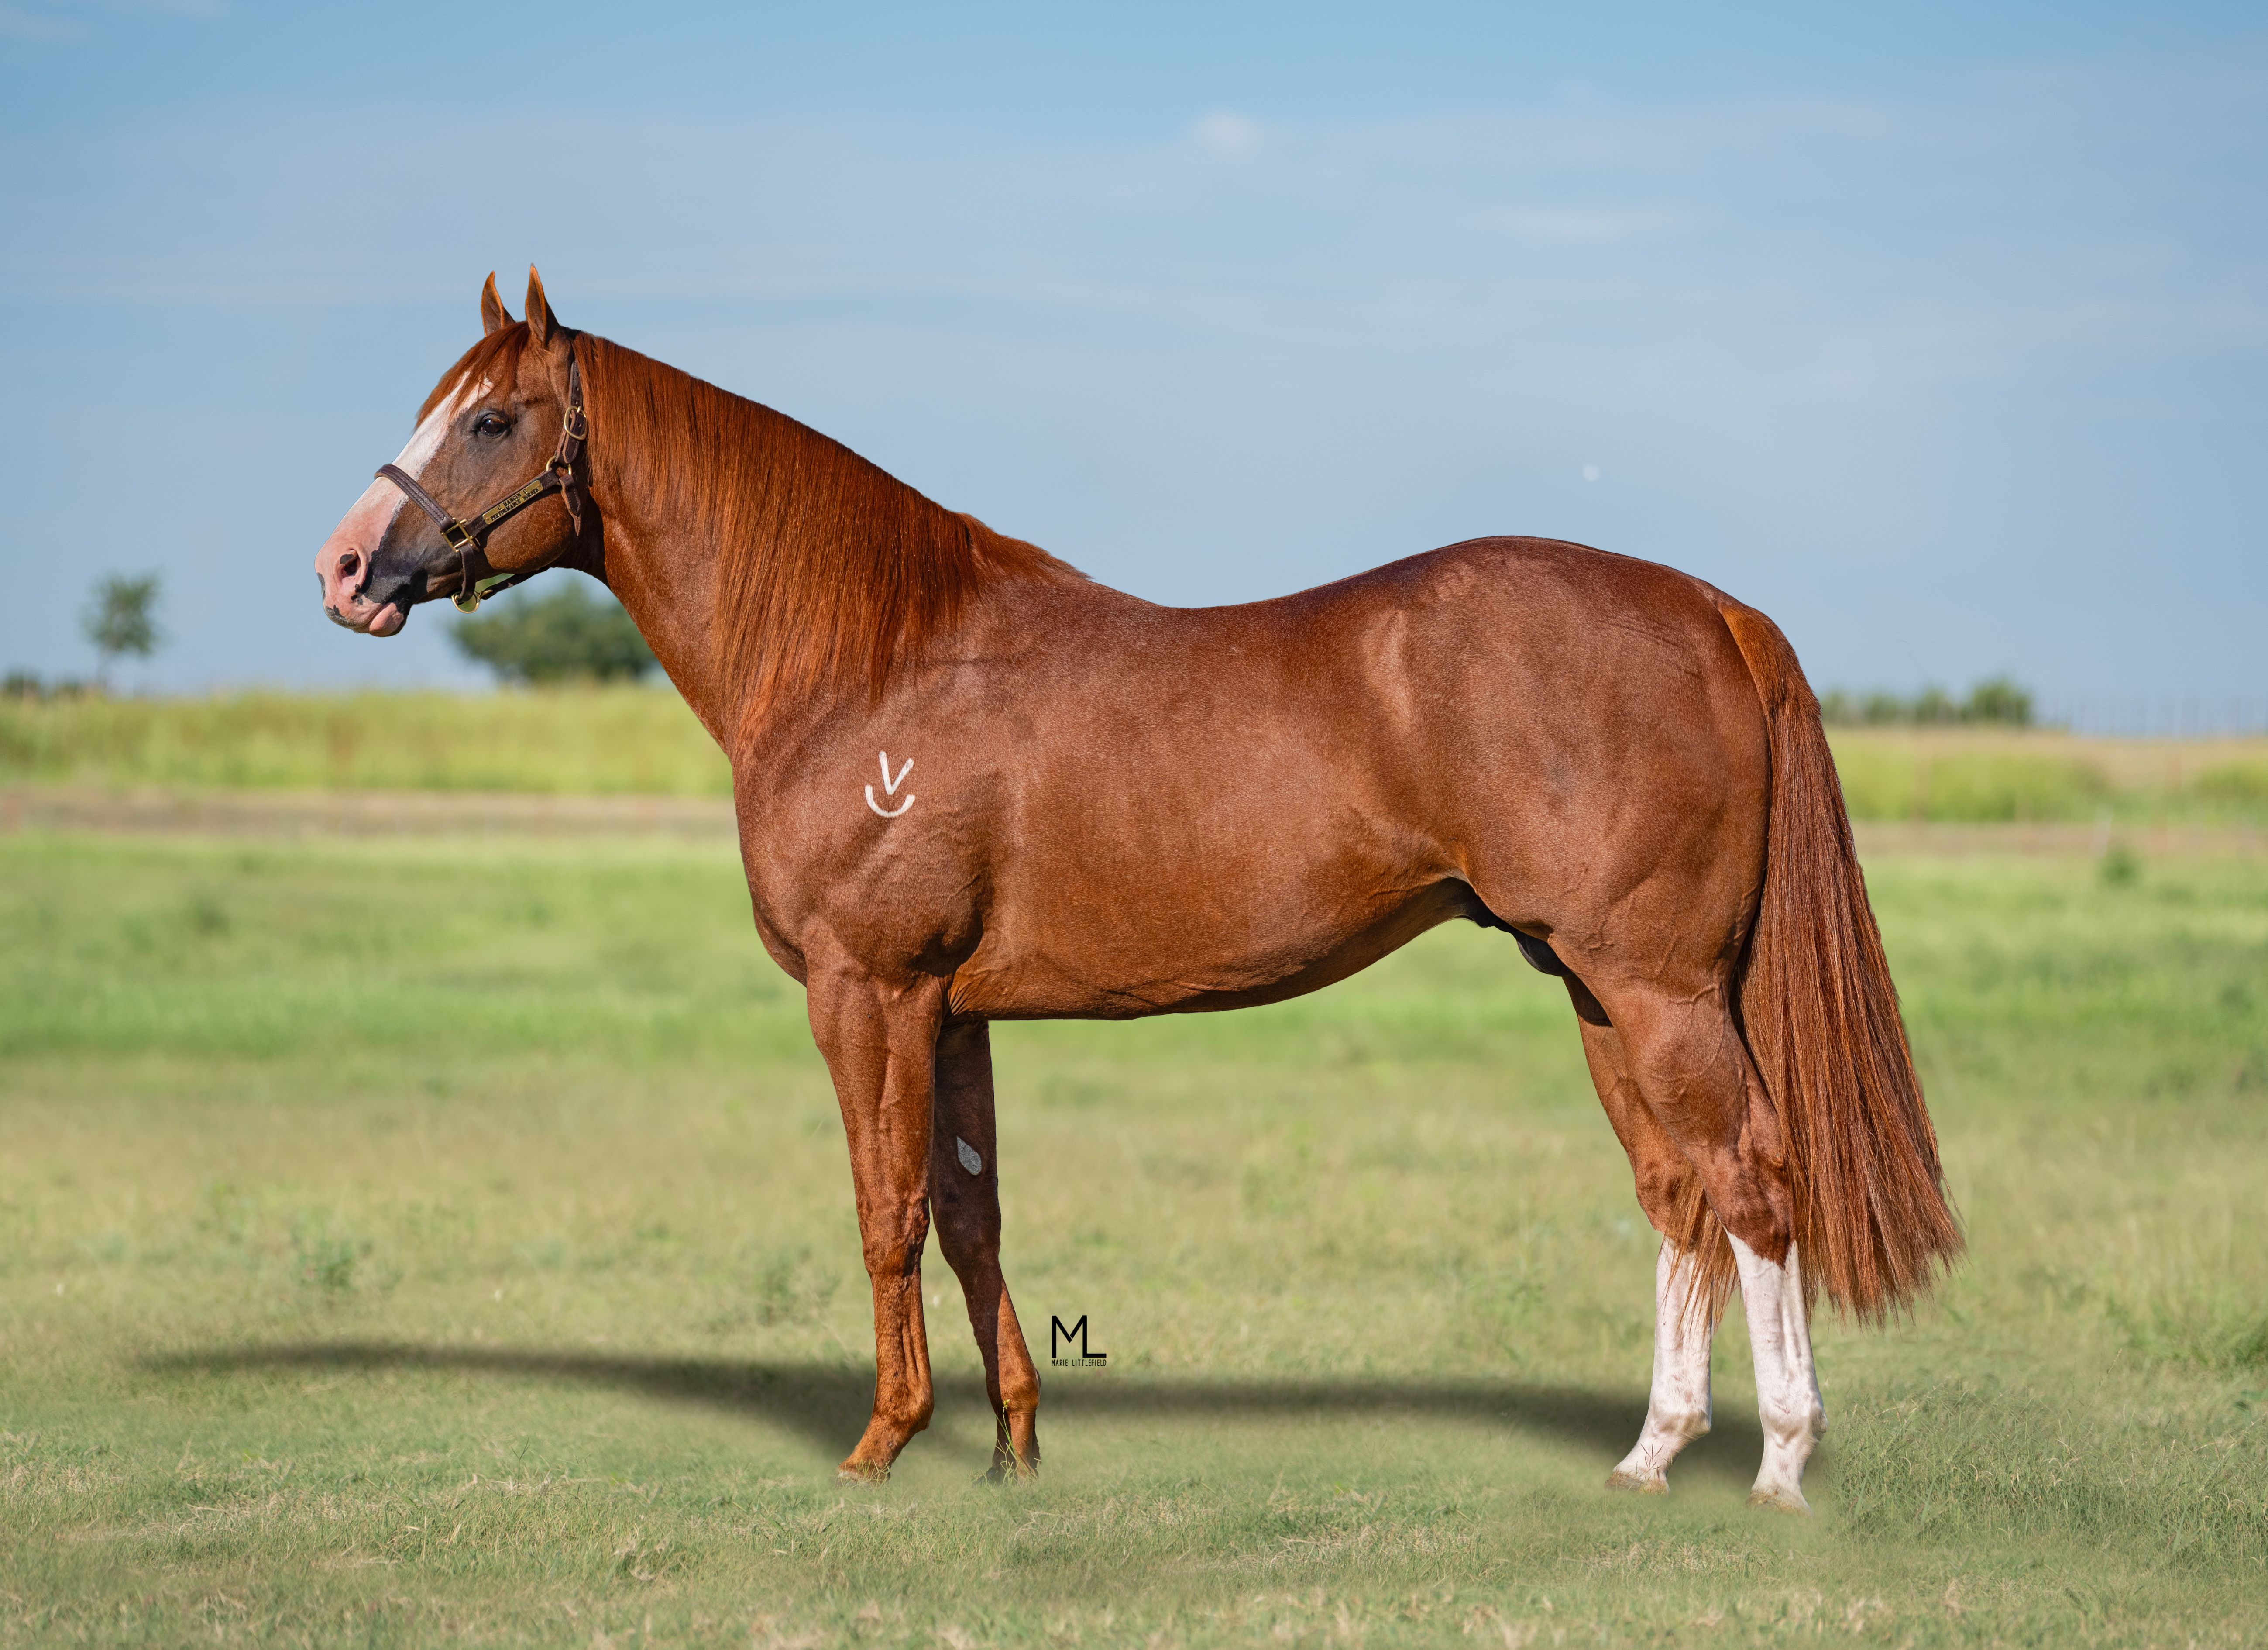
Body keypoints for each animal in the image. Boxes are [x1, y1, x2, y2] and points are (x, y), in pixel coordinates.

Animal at [316, 268, 1960, 1509]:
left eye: (493, 417)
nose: (344, 571)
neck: (872, 660)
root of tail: (1707, 607)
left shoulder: (870, 990)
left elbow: (882, 1208)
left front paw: (879, 1447)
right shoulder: (953, 1010)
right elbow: (970, 1214)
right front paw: (1012, 1448)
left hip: (1658, 989)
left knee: (1753, 1182)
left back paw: (1778, 1468)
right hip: (1598, 992)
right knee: (1677, 1195)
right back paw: (1650, 1455)